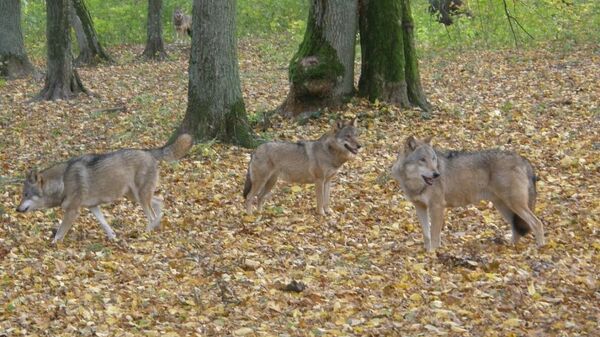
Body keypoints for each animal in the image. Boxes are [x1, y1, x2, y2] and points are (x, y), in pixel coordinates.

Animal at [15, 133, 192, 242]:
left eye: (26, 194)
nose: (17, 209)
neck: (62, 182)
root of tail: (148, 151)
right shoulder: (93, 207)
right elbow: (105, 224)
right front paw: (113, 237)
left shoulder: (72, 211)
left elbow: (60, 232)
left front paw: (53, 244)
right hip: (134, 196)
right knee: (159, 203)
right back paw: (156, 226)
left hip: (139, 197)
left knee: (152, 214)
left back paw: (147, 233)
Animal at [392, 135, 548, 251]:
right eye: (422, 160)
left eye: (433, 159)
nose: (436, 174)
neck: (415, 184)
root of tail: (523, 159)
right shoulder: (420, 207)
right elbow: (427, 235)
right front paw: (427, 253)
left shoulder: (437, 207)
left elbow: (435, 235)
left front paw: (434, 255)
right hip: (503, 206)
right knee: (517, 229)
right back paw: (511, 248)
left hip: (514, 204)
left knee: (537, 223)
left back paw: (540, 248)